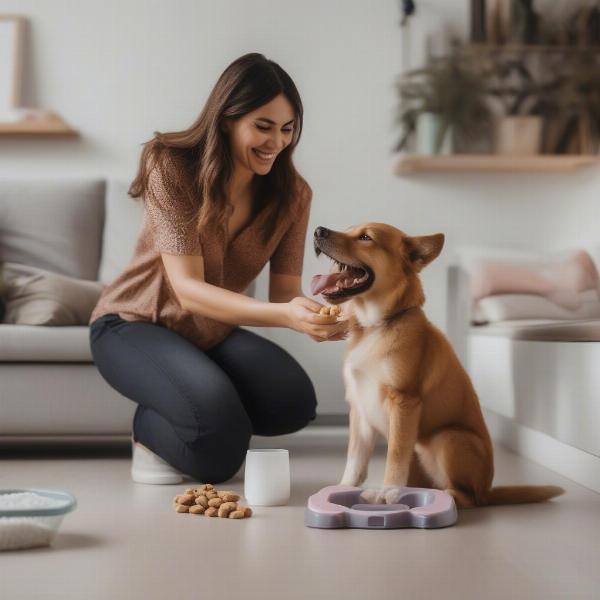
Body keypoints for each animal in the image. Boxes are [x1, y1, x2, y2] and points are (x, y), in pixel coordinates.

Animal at [312, 223, 564, 508]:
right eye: (348, 229)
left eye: (366, 237)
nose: (318, 230)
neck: (374, 326)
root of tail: (488, 490)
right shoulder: (359, 408)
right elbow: (355, 459)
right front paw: (342, 488)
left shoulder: (404, 402)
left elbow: (395, 456)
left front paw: (387, 492)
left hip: (446, 439)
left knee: (467, 497)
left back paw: (443, 497)